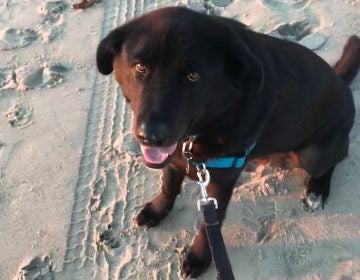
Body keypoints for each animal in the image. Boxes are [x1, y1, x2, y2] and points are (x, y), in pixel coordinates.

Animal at [97, 6, 360, 278]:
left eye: (193, 76)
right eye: (140, 67)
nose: (150, 136)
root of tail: (342, 82)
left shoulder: (219, 183)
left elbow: (207, 225)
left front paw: (199, 257)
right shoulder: (174, 158)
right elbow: (168, 186)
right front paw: (157, 211)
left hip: (312, 154)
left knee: (334, 160)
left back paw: (317, 190)